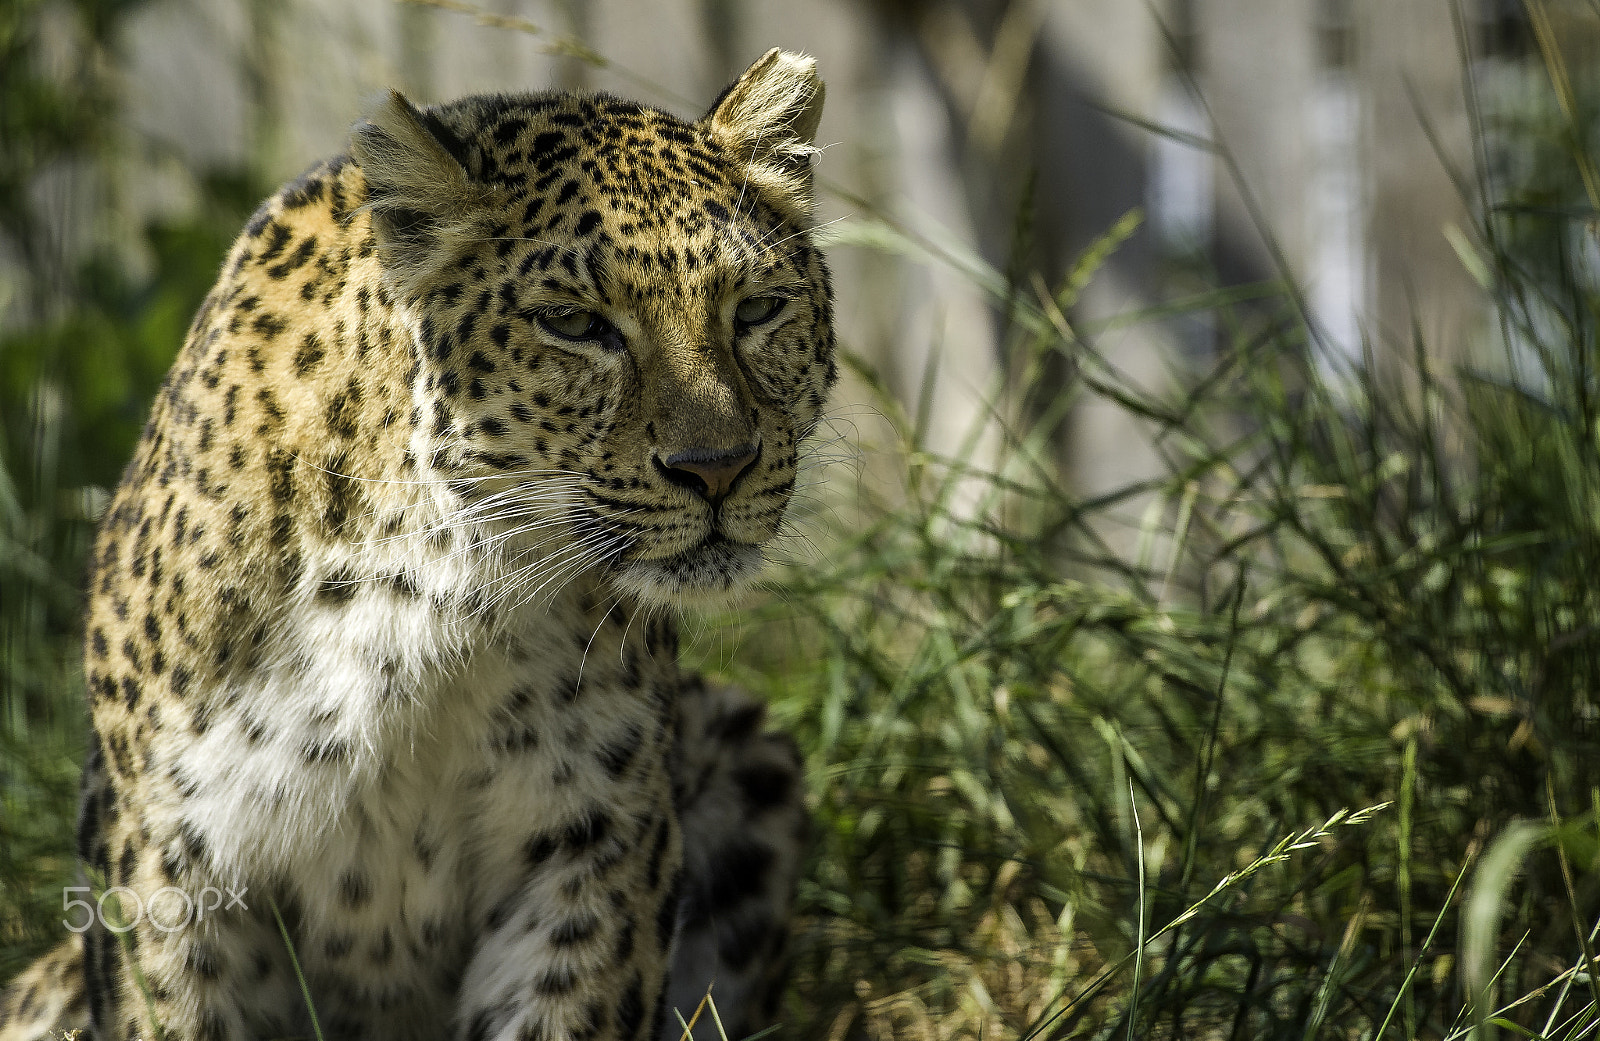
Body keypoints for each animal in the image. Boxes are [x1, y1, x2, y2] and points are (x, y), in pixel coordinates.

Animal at [0, 47, 834, 1041]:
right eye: (575, 323)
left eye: (759, 309)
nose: (718, 468)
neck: (438, 593)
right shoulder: (167, 858)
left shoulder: (590, 850)